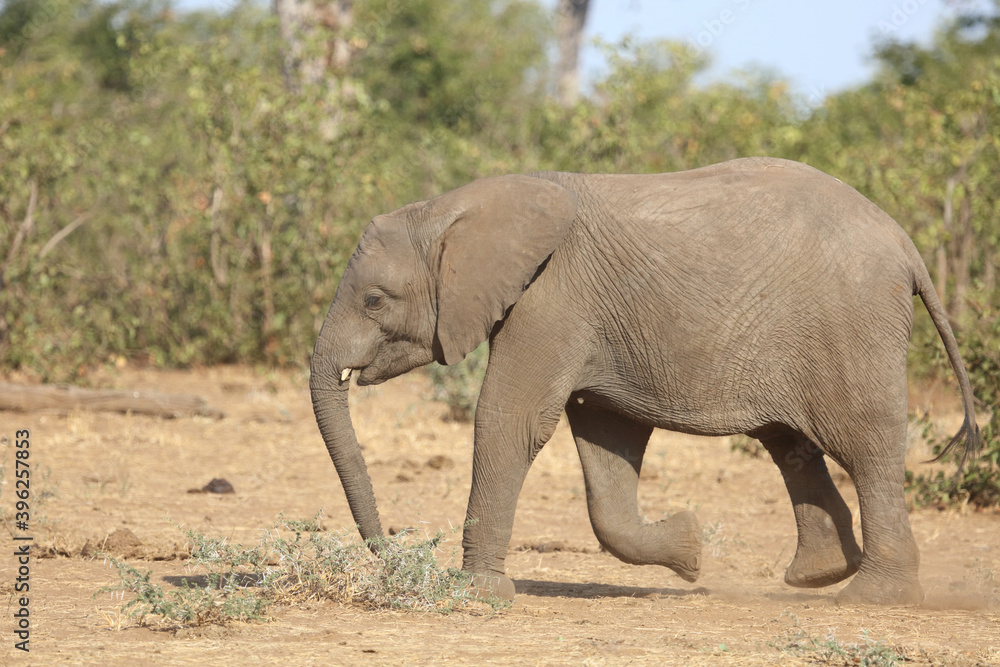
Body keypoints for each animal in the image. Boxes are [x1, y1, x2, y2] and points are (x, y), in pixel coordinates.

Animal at [310, 159, 976, 608]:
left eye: (374, 300)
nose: (396, 551)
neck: (454, 209)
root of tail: (905, 244)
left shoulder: (551, 299)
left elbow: (510, 420)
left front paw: (475, 592)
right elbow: (607, 444)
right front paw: (689, 550)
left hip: (852, 324)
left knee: (866, 446)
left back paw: (872, 597)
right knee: (790, 443)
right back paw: (816, 576)